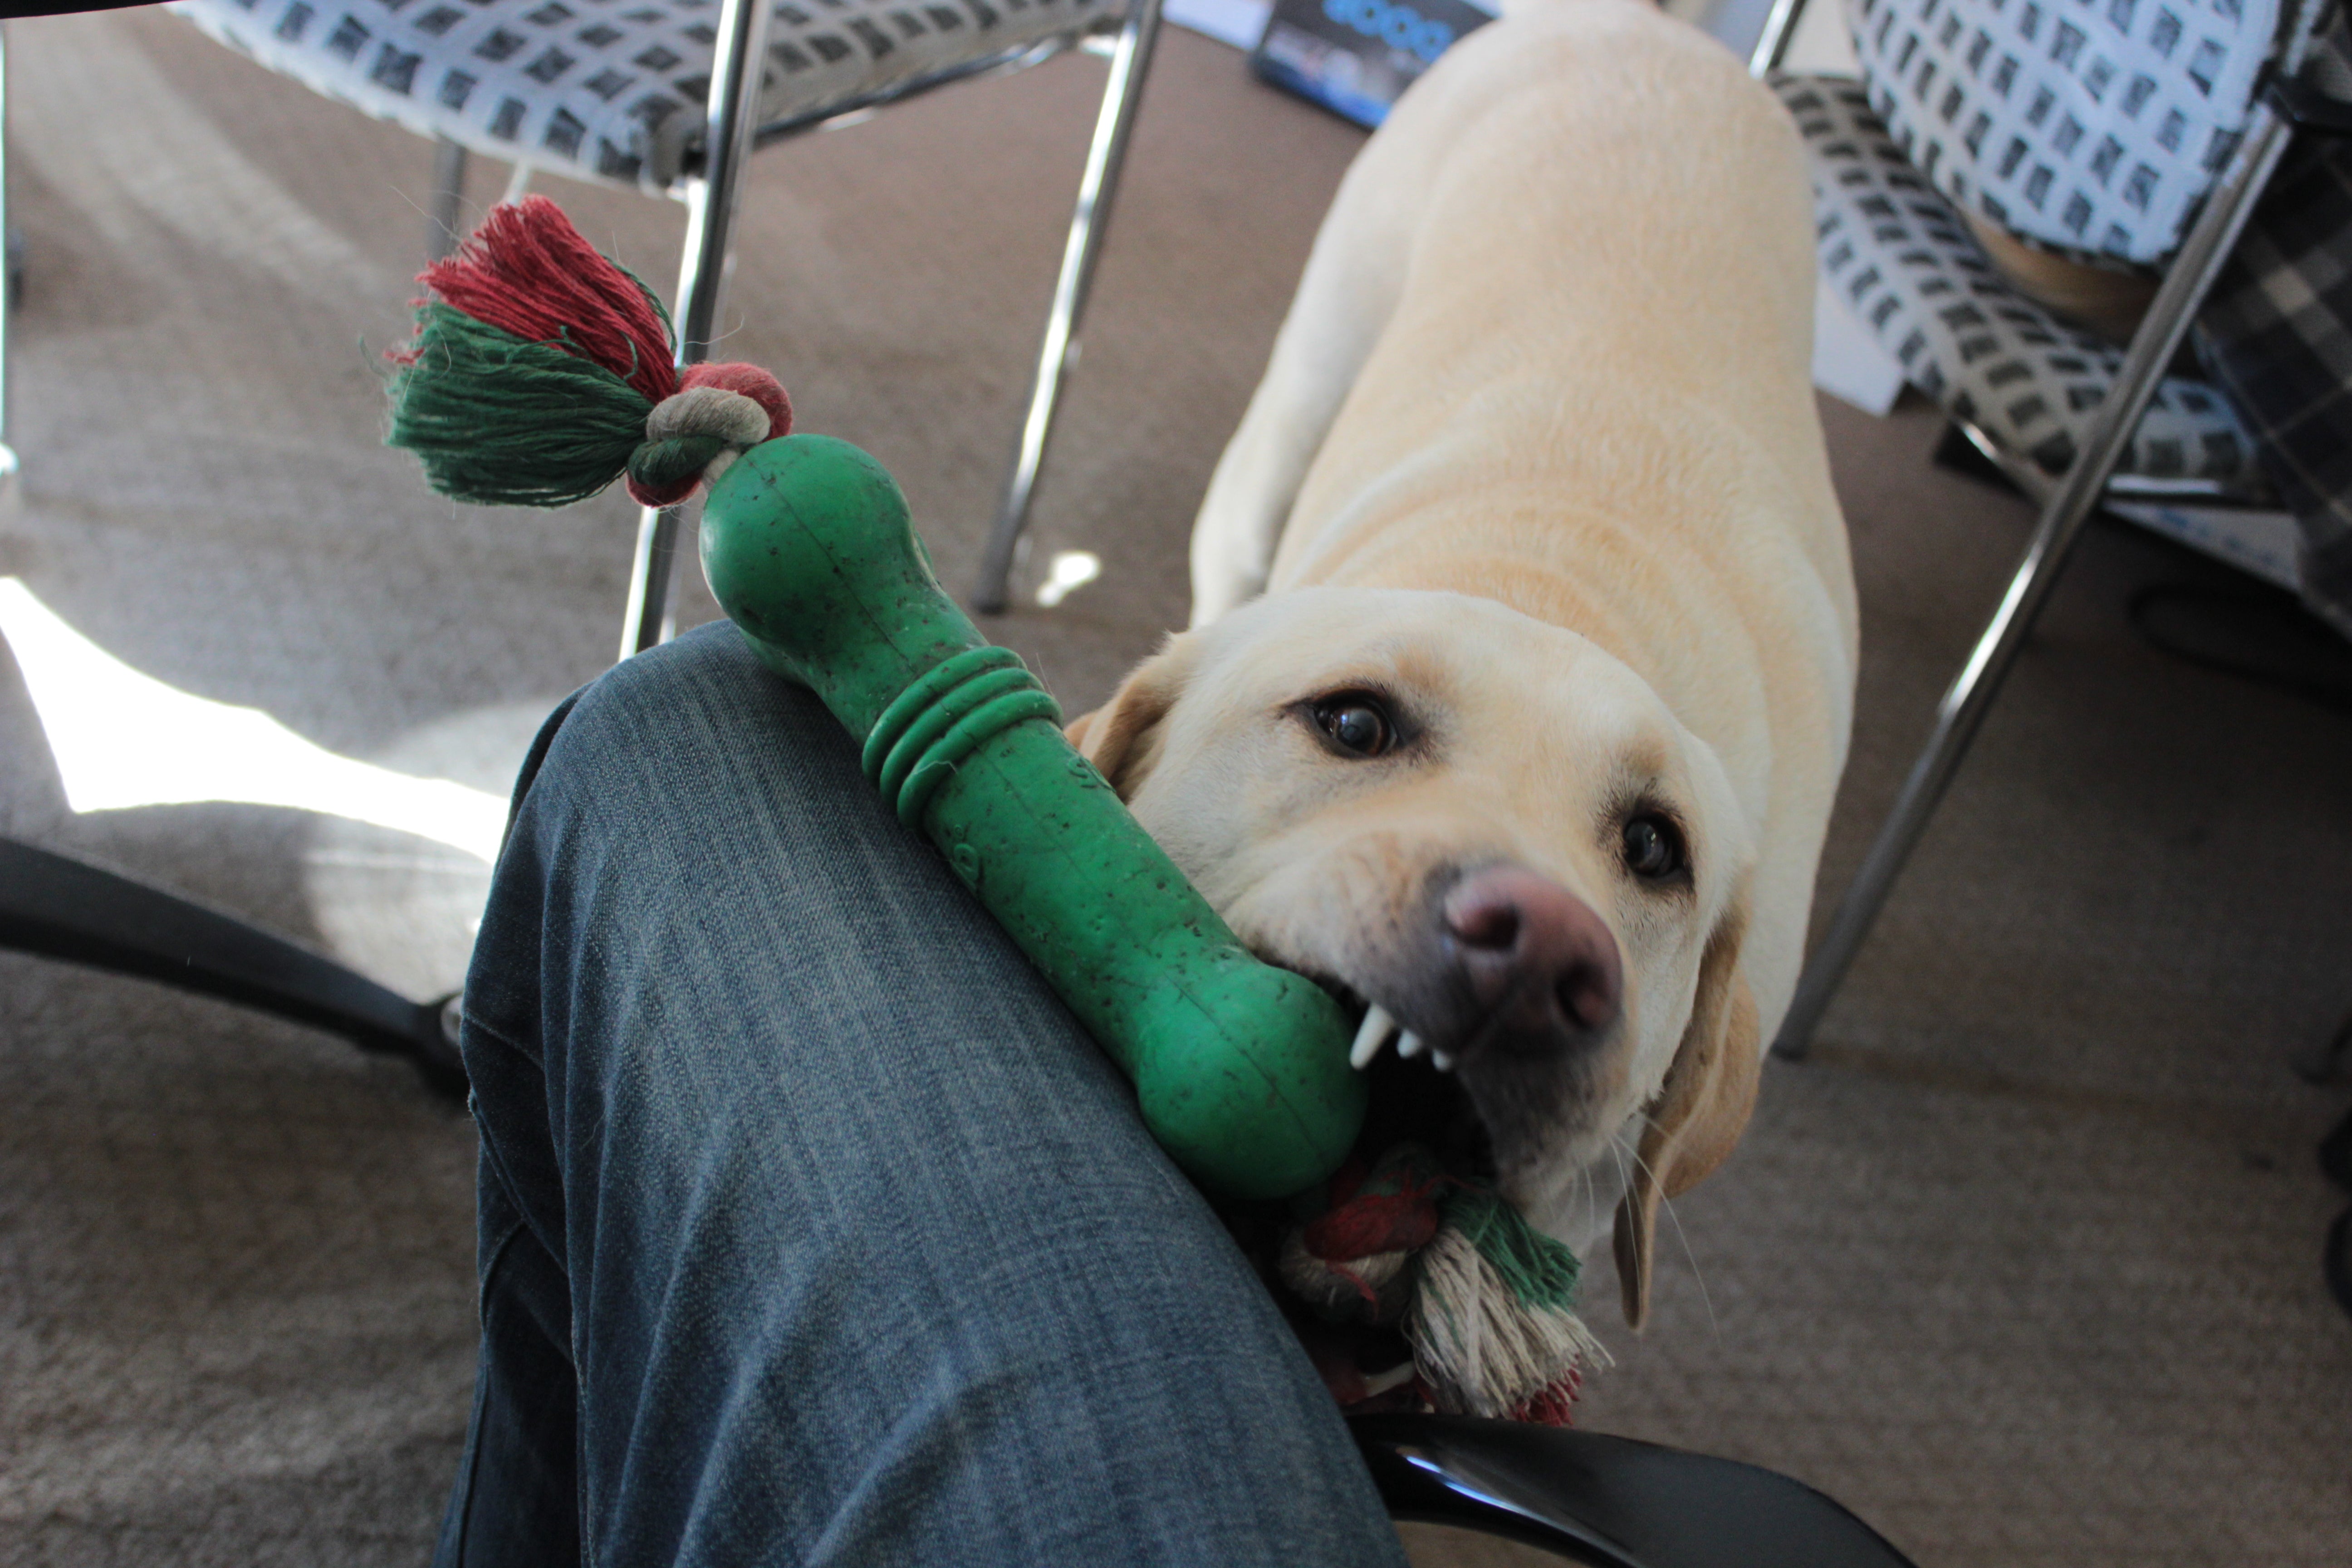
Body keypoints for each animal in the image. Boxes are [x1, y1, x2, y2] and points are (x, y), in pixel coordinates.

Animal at [1068, 0, 1853, 1326]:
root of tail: (1645, 26)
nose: (1543, 953)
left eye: (1656, 848)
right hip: (1284, 425)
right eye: (1352, 726)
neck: (1559, 580)